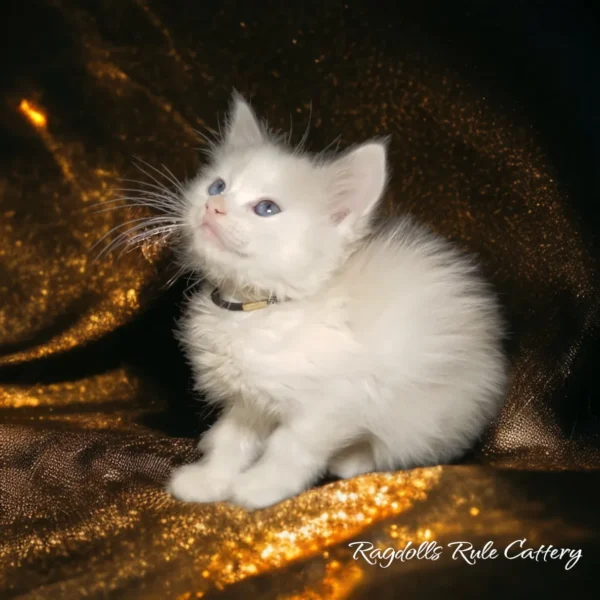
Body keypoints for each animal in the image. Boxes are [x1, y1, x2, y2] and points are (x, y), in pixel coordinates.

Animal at [166, 96, 508, 508]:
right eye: (217, 186)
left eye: (266, 208)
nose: (213, 206)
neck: (260, 309)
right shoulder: (247, 399)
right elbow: (232, 442)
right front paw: (209, 481)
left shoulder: (332, 404)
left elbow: (289, 449)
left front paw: (260, 489)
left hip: (426, 417)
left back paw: (352, 460)